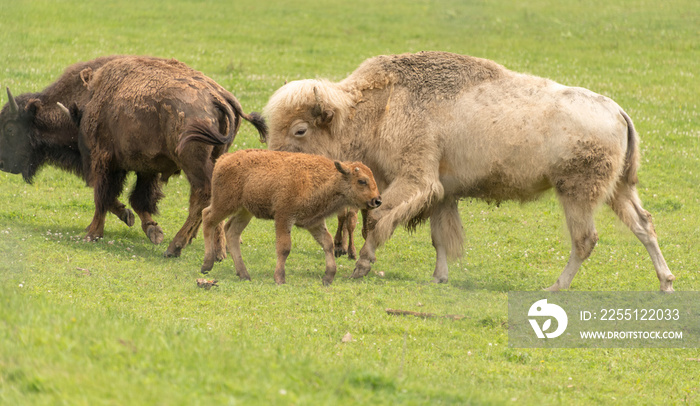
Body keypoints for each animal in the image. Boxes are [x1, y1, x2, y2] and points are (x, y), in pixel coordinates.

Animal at [0, 55, 266, 255]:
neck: (89, 96)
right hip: (215, 157)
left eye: (10, 129)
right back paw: (215, 249)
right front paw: (151, 229)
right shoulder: (145, 167)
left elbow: (103, 196)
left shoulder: (102, 160)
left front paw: (92, 233)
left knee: (202, 194)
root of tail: (218, 96)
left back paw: (176, 247)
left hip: (193, 162)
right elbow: (137, 199)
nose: (3, 163)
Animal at [176, 143, 382, 286]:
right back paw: (207, 264)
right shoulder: (284, 217)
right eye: (362, 181)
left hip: (244, 211)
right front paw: (280, 279)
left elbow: (328, 243)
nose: (377, 200)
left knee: (232, 231)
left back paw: (244, 274)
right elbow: (284, 247)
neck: (324, 178)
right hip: (224, 204)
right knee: (208, 218)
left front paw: (328, 277)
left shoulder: (314, 222)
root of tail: (224, 159)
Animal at [262, 51, 672, 292]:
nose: (275, 164)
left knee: (585, 239)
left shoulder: (416, 179)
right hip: (618, 190)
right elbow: (440, 237)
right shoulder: (442, 191)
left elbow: (378, 220)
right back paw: (666, 282)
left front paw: (361, 266)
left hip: (577, 194)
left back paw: (554, 288)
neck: (382, 105)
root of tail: (618, 111)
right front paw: (439, 277)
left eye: (300, 130)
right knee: (644, 224)